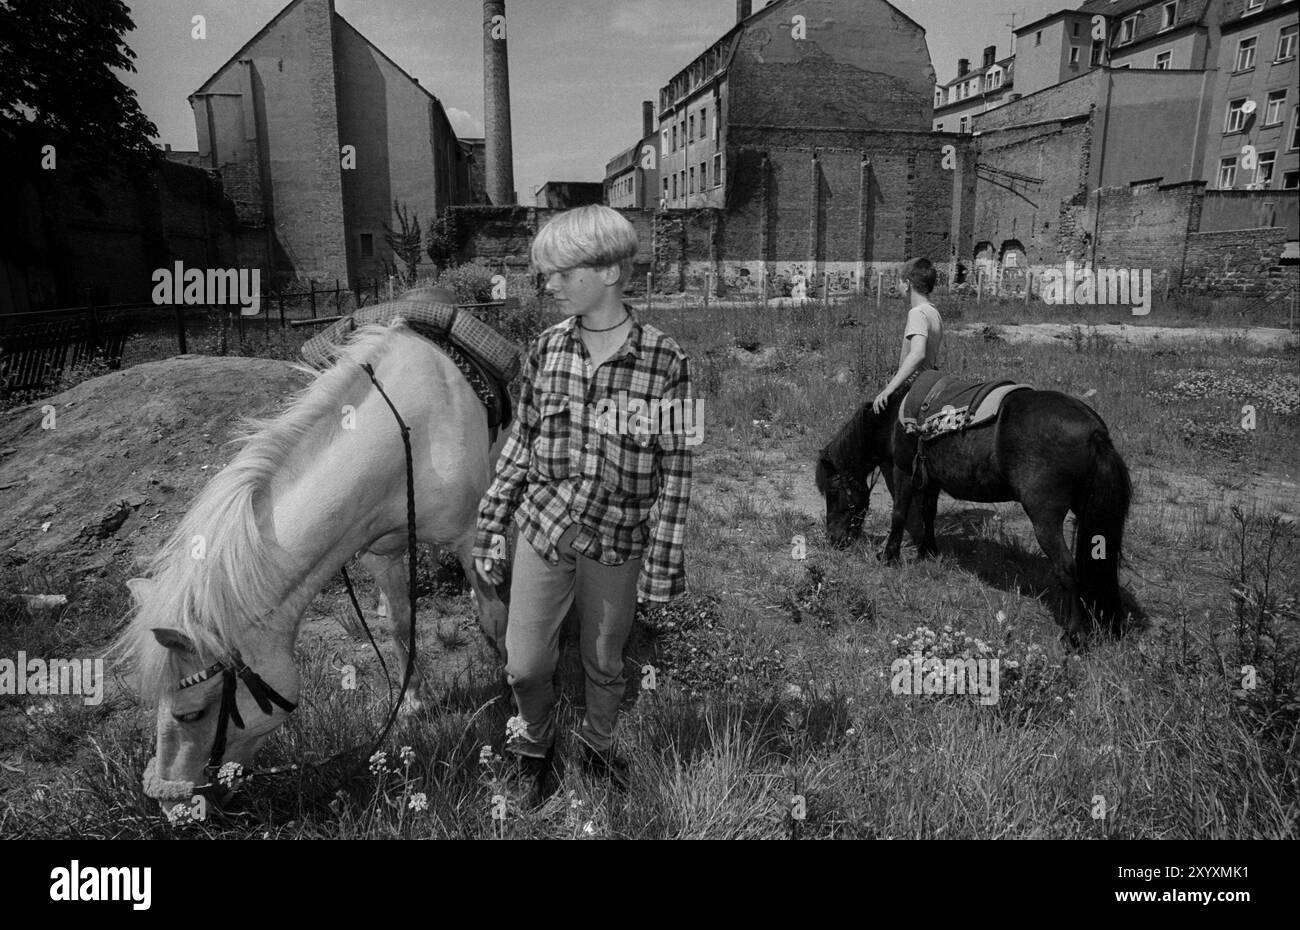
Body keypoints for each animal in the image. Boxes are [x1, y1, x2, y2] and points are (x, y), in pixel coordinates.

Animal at [113, 318, 506, 806]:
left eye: (193, 713)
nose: (171, 805)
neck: (416, 435)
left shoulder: (470, 536)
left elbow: (492, 616)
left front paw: (512, 688)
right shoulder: (380, 551)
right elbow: (399, 623)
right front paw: (413, 701)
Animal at [816, 387, 1133, 639]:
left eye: (832, 493)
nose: (833, 539)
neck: (893, 418)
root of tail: (1094, 431)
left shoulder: (903, 470)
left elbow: (899, 513)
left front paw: (888, 556)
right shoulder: (931, 479)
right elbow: (928, 513)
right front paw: (928, 551)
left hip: (1045, 518)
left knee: (1066, 567)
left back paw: (1074, 633)